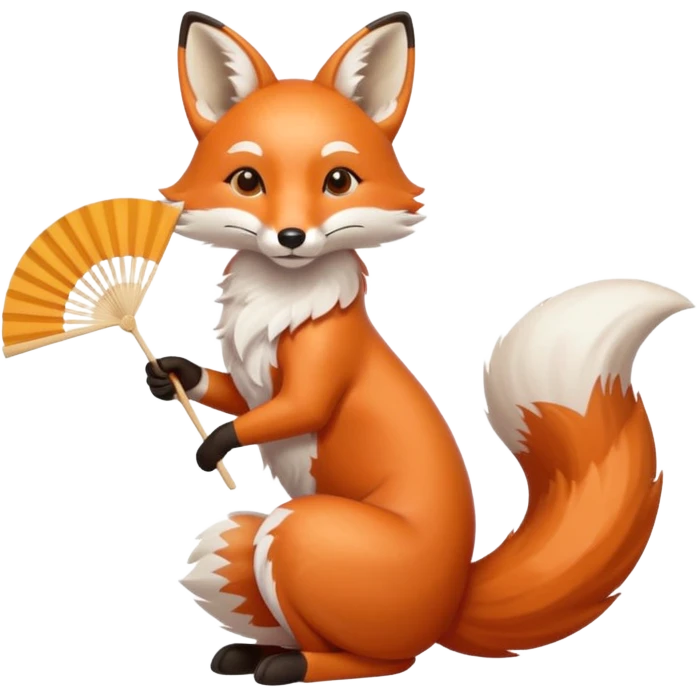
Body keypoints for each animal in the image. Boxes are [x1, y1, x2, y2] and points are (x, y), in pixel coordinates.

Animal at [146, 10, 695, 686]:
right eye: (248, 180)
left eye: (338, 180)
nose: (292, 236)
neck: (282, 298)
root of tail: (452, 601)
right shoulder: (253, 378)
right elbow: (229, 392)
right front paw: (171, 374)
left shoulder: (322, 364)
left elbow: (294, 409)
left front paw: (217, 445)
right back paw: (251, 651)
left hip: (297, 532)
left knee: (383, 658)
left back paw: (290, 663)